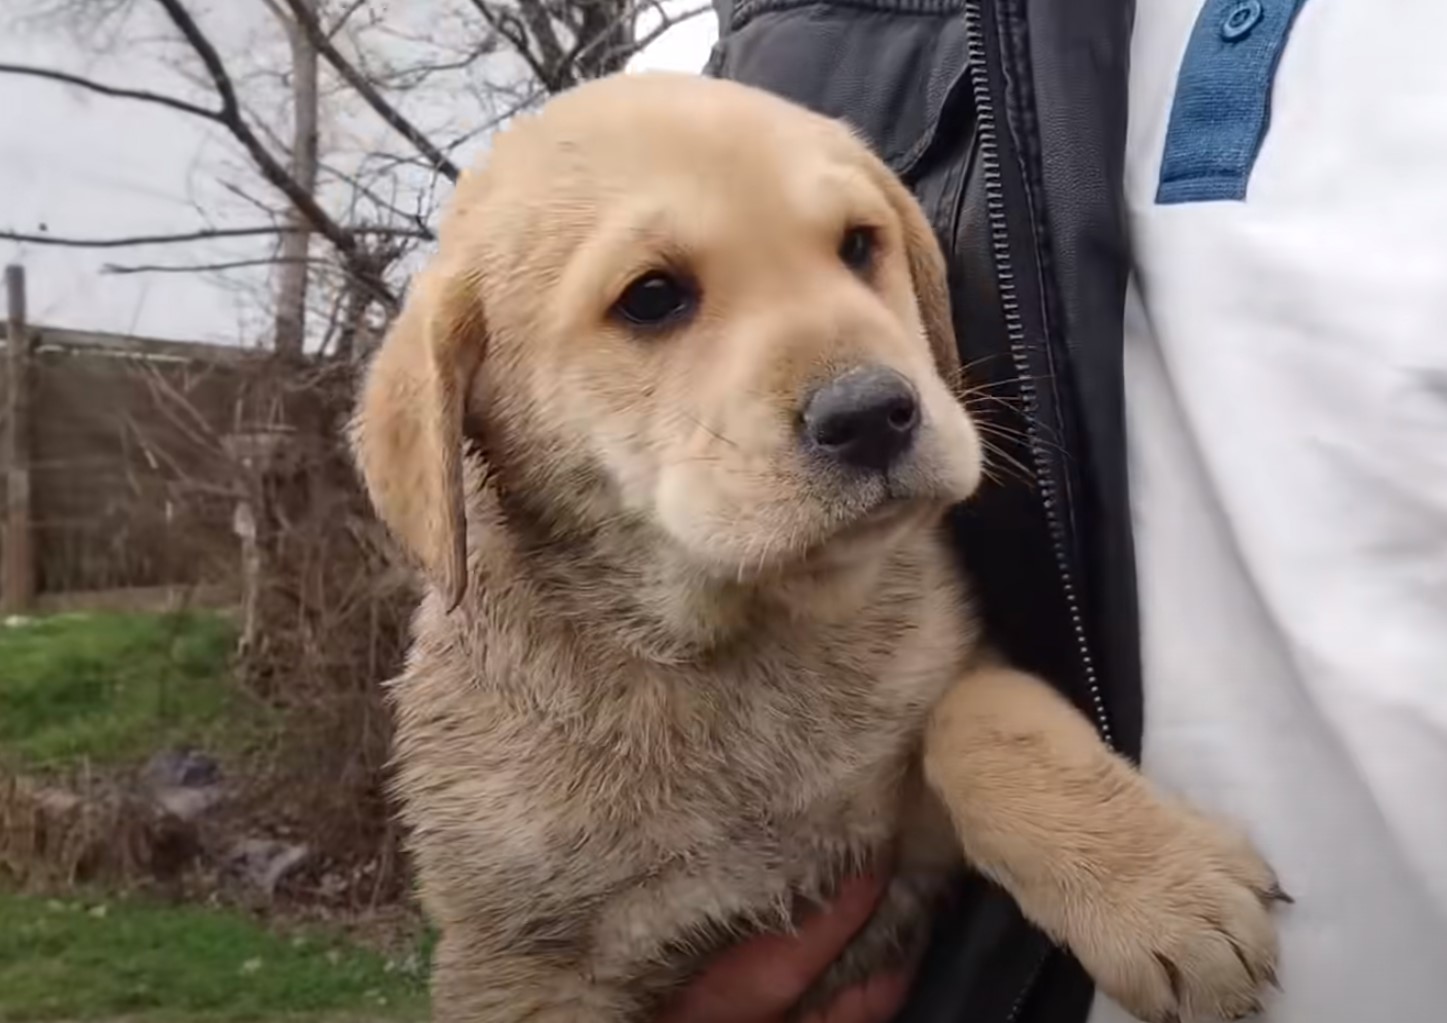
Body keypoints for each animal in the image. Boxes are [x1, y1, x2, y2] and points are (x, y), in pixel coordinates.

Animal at [353, 74, 1290, 1023]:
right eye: (650, 296)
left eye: (858, 246)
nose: (873, 414)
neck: (733, 648)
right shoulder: (525, 966)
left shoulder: (906, 840)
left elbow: (978, 714)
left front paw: (1160, 891)